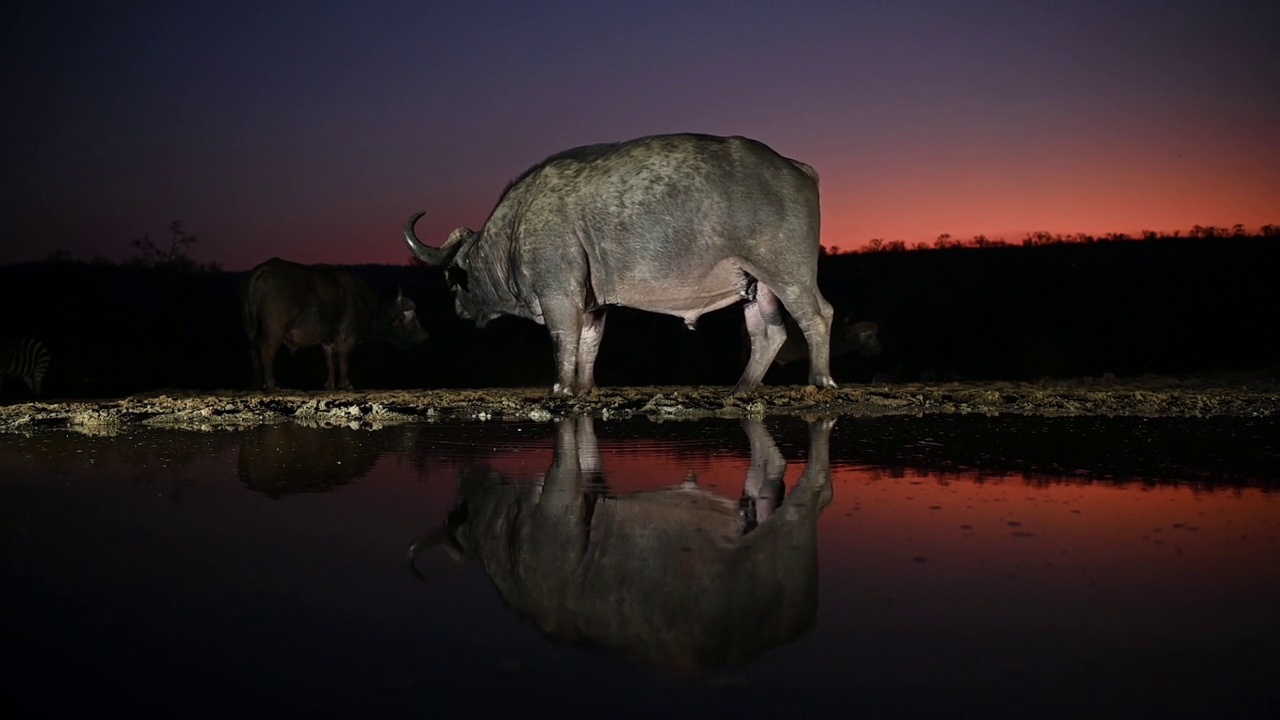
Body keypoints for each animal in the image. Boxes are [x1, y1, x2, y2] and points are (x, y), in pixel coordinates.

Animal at [235, 256, 424, 389]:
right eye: (412, 318)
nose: (425, 335)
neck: (365, 303)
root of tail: (264, 268)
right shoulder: (348, 339)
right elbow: (343, 361)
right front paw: (346, 384)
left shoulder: (327, 342)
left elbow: (330, 362)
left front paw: (330, 384)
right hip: (276, 329)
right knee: (267, 349)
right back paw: (271, 384)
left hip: (250, 327)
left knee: (253, 349)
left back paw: (255, 384)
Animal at [404, 131, 834, 394]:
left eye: (452, 278)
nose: (457, 308)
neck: (514, 229)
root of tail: (797, 168)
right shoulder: (593, 307)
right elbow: (588, 344)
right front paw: (584, 388)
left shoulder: (559, 295)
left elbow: (563, 339)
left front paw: (561, 388)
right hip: (757, 286)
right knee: (768, 334)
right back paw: (742, 387)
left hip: (787, 273)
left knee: (817, 315)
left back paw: (820, 379)